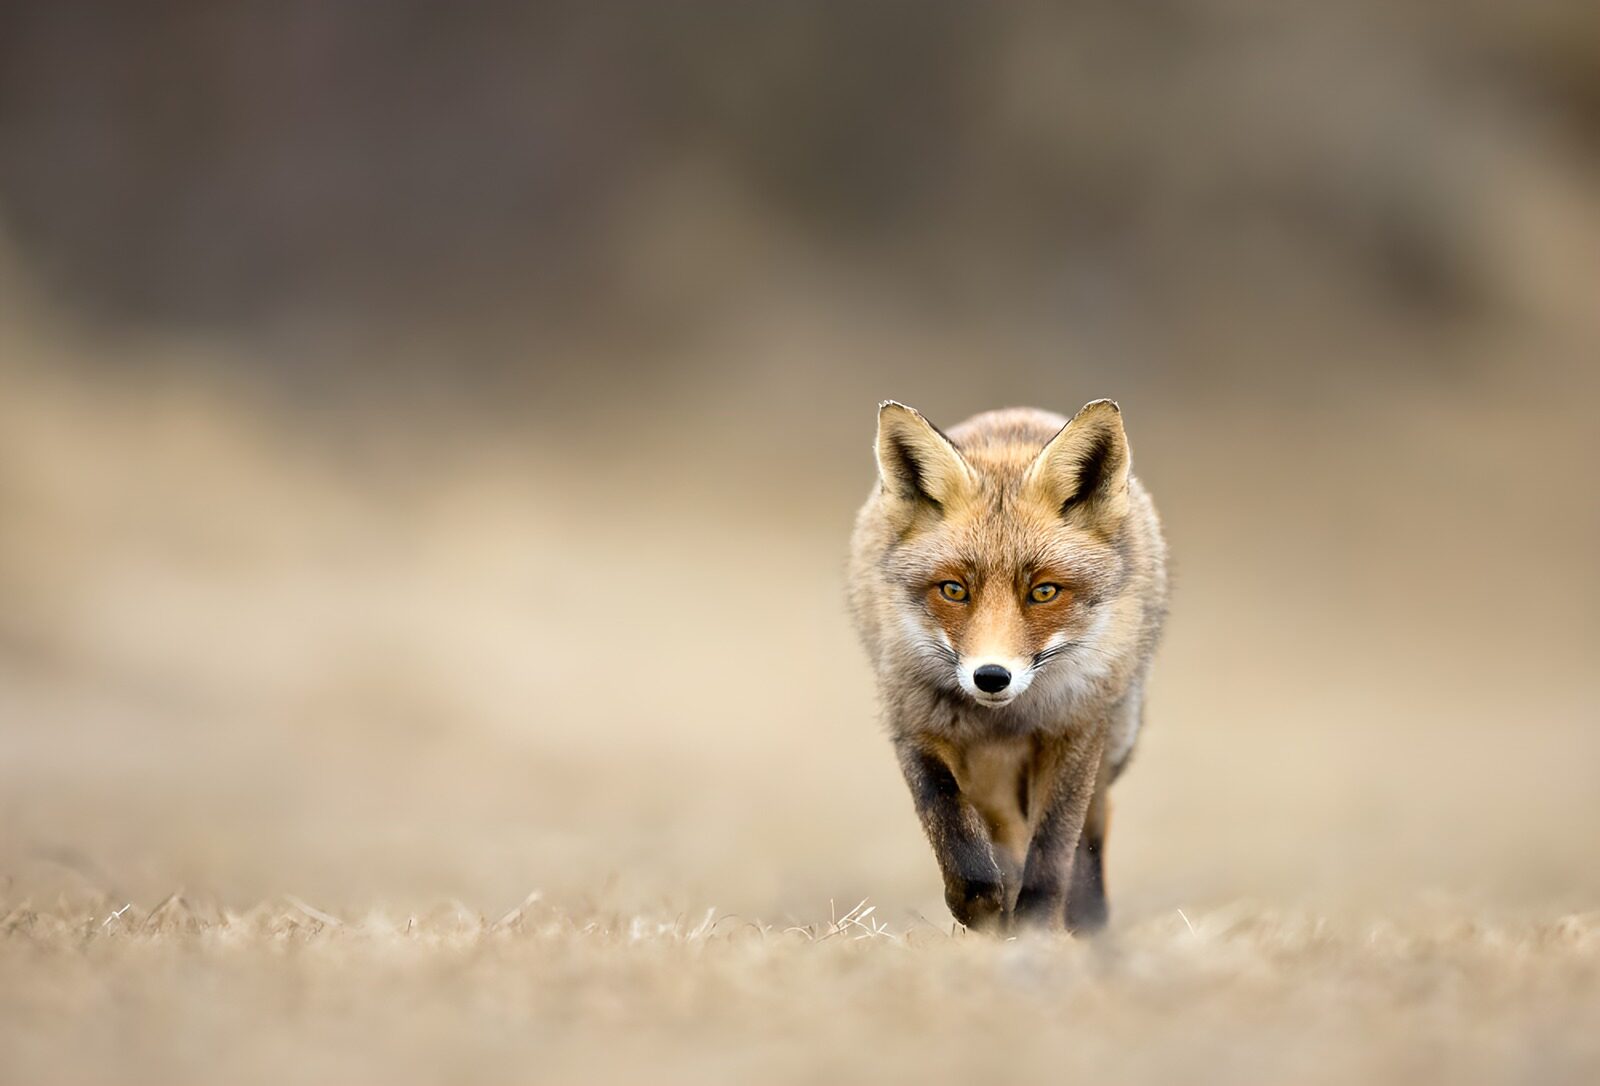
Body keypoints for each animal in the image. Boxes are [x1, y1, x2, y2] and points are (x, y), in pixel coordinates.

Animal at [848, 399, 1167, 934]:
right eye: (954, 589)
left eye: (1044, 591)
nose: (991, 677)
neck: (1010, 717)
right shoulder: (914, 720)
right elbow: (950, 826)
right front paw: (986, 911)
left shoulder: (1074, 728)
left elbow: (1054, 850)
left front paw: (1036, 926)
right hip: (987, 771)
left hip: (1111, 740)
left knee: (1085, 840)